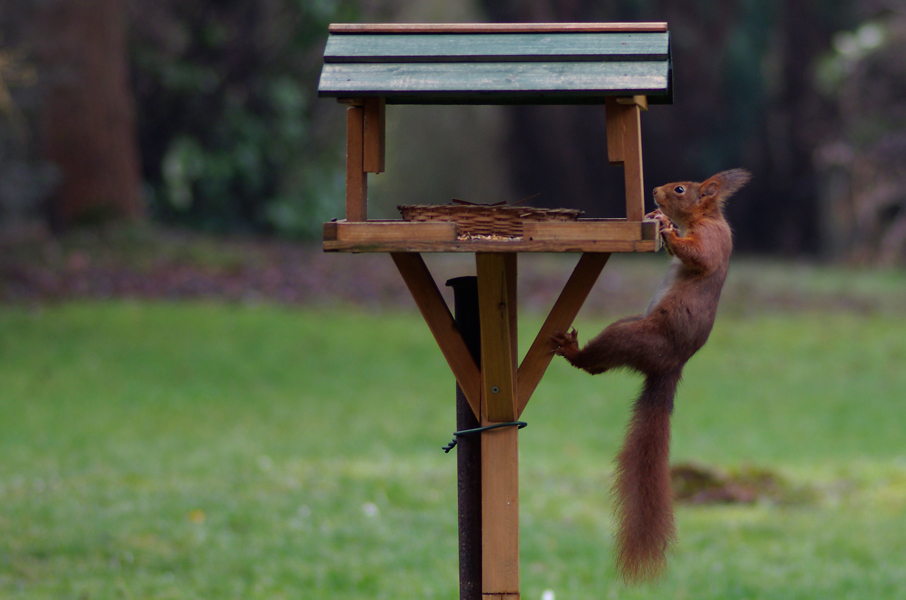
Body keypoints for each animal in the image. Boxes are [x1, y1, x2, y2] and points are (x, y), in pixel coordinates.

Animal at [552, 169, 748, 580]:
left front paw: (668, 229)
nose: (656, 191)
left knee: (593, 365)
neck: (705, 217)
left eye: (680, 189)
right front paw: (656, 219)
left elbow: (699, 256)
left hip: (632, 336)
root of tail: (672, 367)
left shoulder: (711, 240)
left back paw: (574, 350)